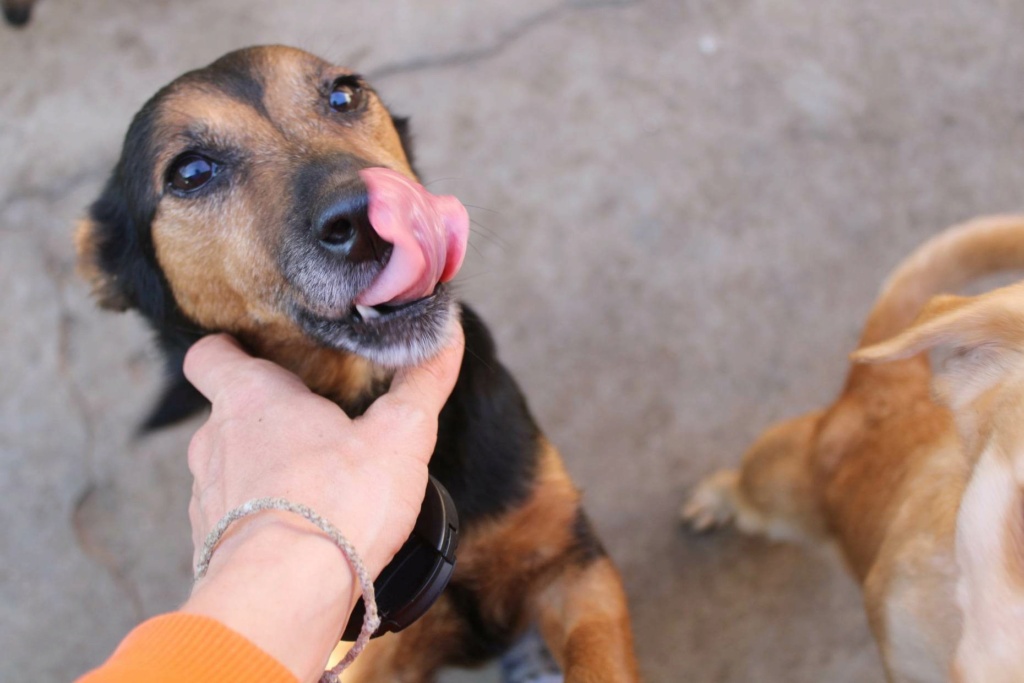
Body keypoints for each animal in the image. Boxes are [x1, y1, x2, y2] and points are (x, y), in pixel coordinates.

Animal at [75, 45, 638, 679]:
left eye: (344, 95)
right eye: (190, 173)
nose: (369, 216)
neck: (366, 390)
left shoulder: (570, 560)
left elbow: (599, 660)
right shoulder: (363, 658)